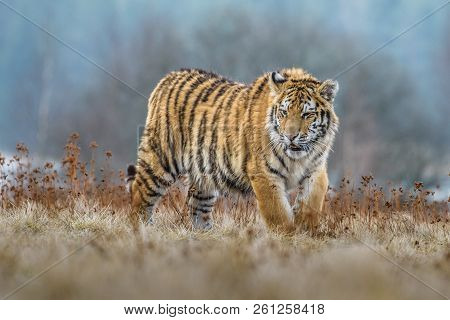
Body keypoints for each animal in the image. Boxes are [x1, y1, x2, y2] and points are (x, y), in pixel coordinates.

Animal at [126, 67, 338, 232]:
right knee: (139, 193)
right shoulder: (264, 174)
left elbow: (313, 199)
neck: (298, 158)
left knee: (196, 207)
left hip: (204, 176)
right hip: (161, 159)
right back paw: (142, 230)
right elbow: (277, 212)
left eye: (307, 114)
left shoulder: (316, 168)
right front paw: (288, 236)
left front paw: (306, 227)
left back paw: (205, 236)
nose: (290, 136)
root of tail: (168, 78)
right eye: (284, 113)